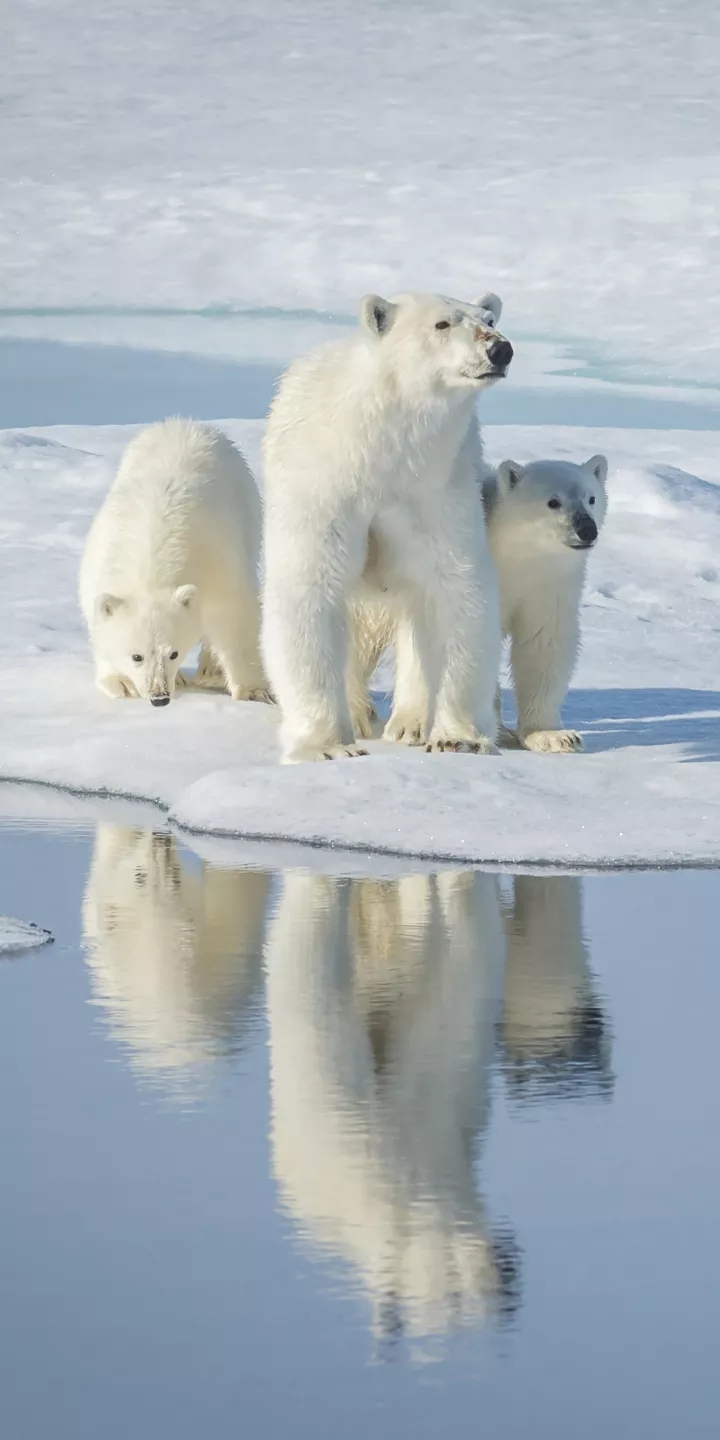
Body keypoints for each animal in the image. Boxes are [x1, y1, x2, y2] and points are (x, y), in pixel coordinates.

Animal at [79, 418, 270, 705]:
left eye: (174, 653)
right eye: (137, 656)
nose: (160, 697)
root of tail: (184, 423)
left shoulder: (216, 559)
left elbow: (235, 613)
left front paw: (254, 691)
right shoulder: (100, 559)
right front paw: (121, 683)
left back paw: (210, 670)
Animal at [260, 291, 512, 763]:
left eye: (489, 319)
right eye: (442, 324)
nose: (499, 349)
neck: (383, 448)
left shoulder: (436, 491)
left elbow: (456, 590)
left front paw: (457, 737)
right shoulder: (324, 487)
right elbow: (311, 591)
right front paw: (327, 746)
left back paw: (407, 723)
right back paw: (360, 716)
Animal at [485, 454, 607, 752]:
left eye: (591, 498)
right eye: (553, 501)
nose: (586, 529)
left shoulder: (548, 584)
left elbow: (543, 644)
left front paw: (553, 736)